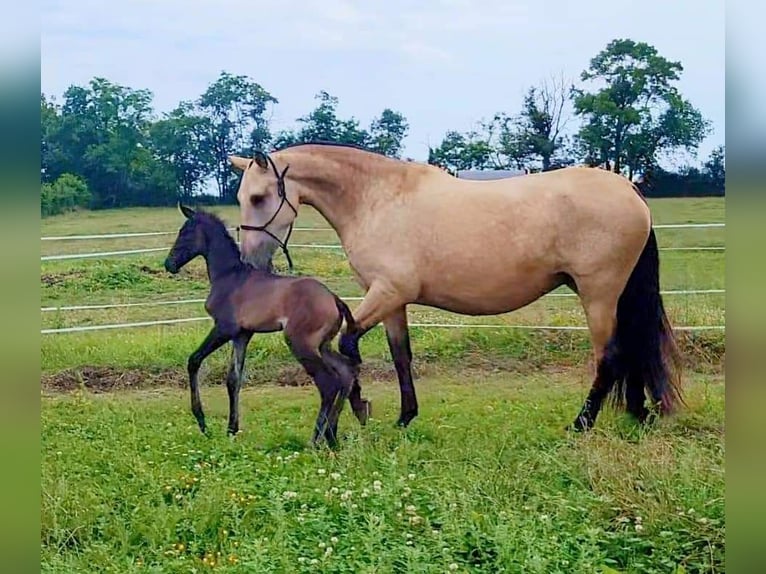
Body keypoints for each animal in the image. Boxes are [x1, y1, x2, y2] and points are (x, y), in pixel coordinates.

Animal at [165, 205, 372, 448]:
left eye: (184, 232)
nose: (168, 264)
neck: (229, 276)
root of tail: (334, 299)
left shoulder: (224, 328)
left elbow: (194, 360)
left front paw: (203, 423)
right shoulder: (242, 335)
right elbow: (233, 379)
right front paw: (231, 429)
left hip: (300, 343)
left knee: (328, 382)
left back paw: (316, 439)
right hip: (322, 346)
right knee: (346, 371)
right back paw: (332, 436)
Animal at [230, 143, 684, 432]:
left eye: (258, 197)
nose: (250, 262)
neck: (377, 198)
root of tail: (628, 188)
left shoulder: (385, 293)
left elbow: (347, 344)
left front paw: (360, 405)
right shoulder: (393, 301)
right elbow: (400, 356)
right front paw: (404, 417)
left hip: (599, 294)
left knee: (610, 356)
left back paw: (582, 423)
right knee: (630, 350)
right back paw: (637, 414)